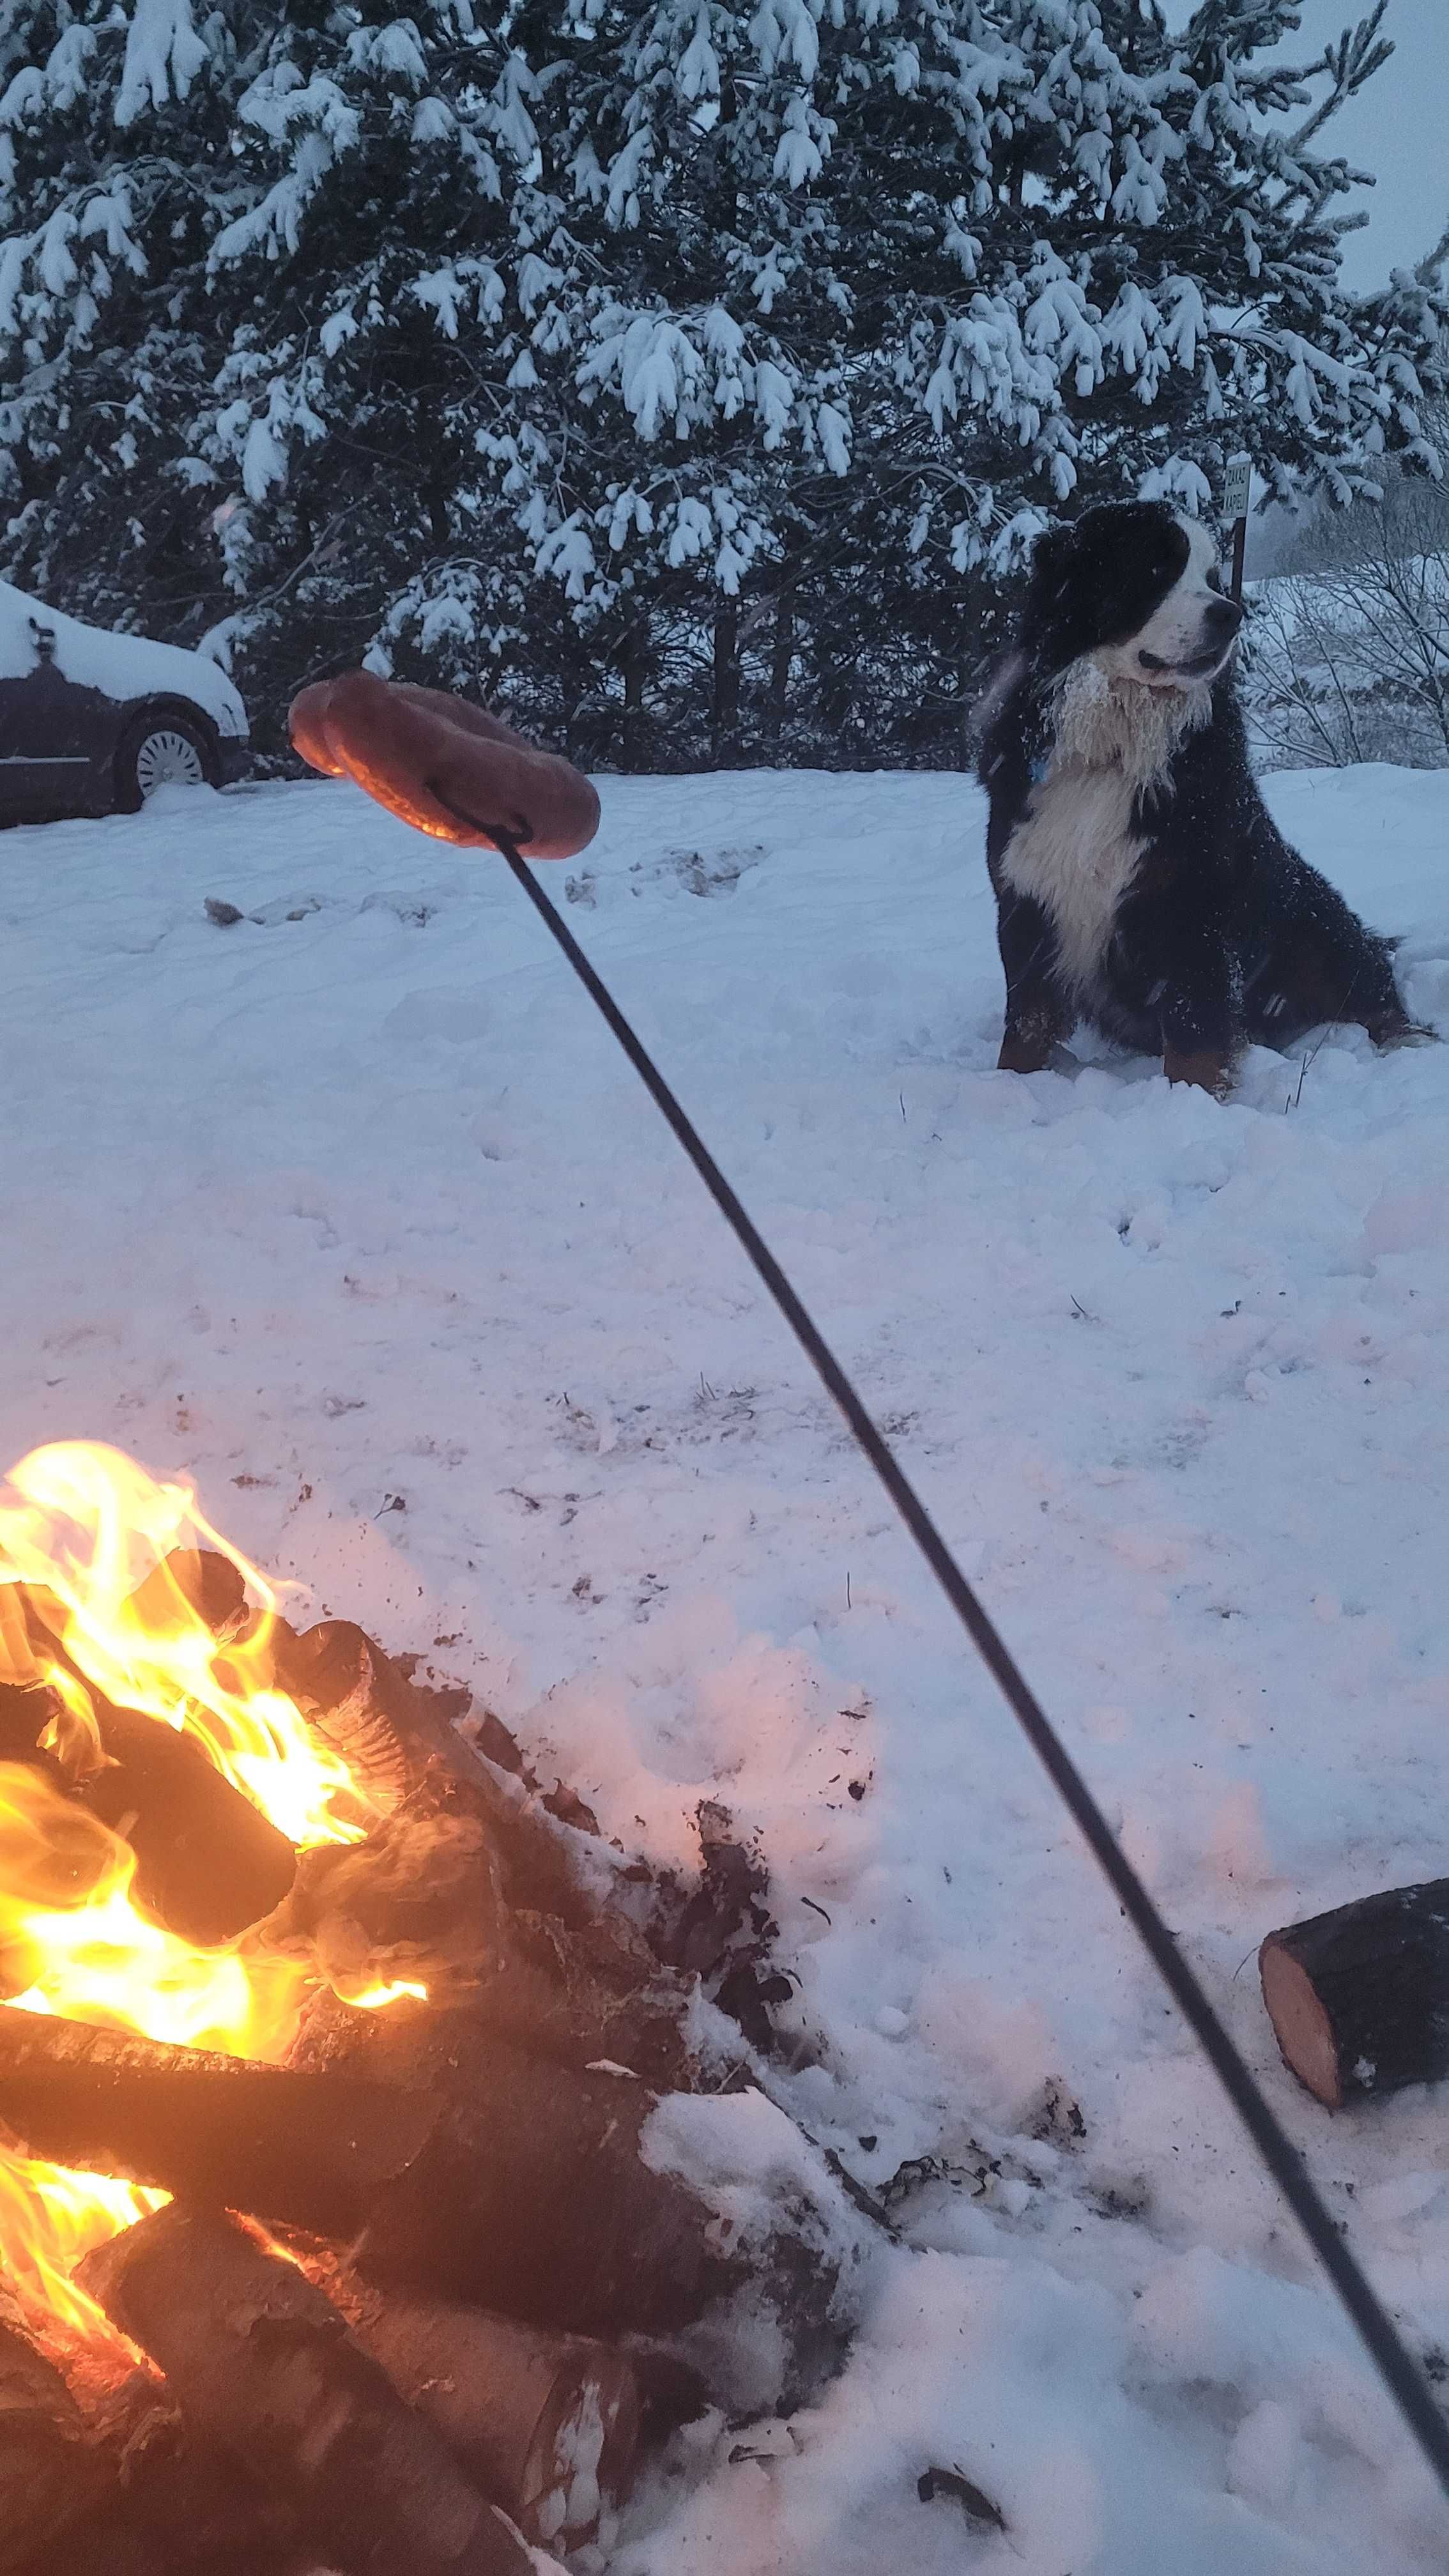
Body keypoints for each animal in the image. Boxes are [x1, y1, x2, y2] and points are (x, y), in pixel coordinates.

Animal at [969, 502, 1423, 1097]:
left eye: (1211, 579)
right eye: (1156, 568)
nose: (1231, 614)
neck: (1114, 745)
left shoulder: (1189, 906)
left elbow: (1195, 1034)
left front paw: (1193, 1100)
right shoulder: (1025, 901)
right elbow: (1024, 1027)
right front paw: (1009, 1091)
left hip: (1317, 920)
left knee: (1376, 995)